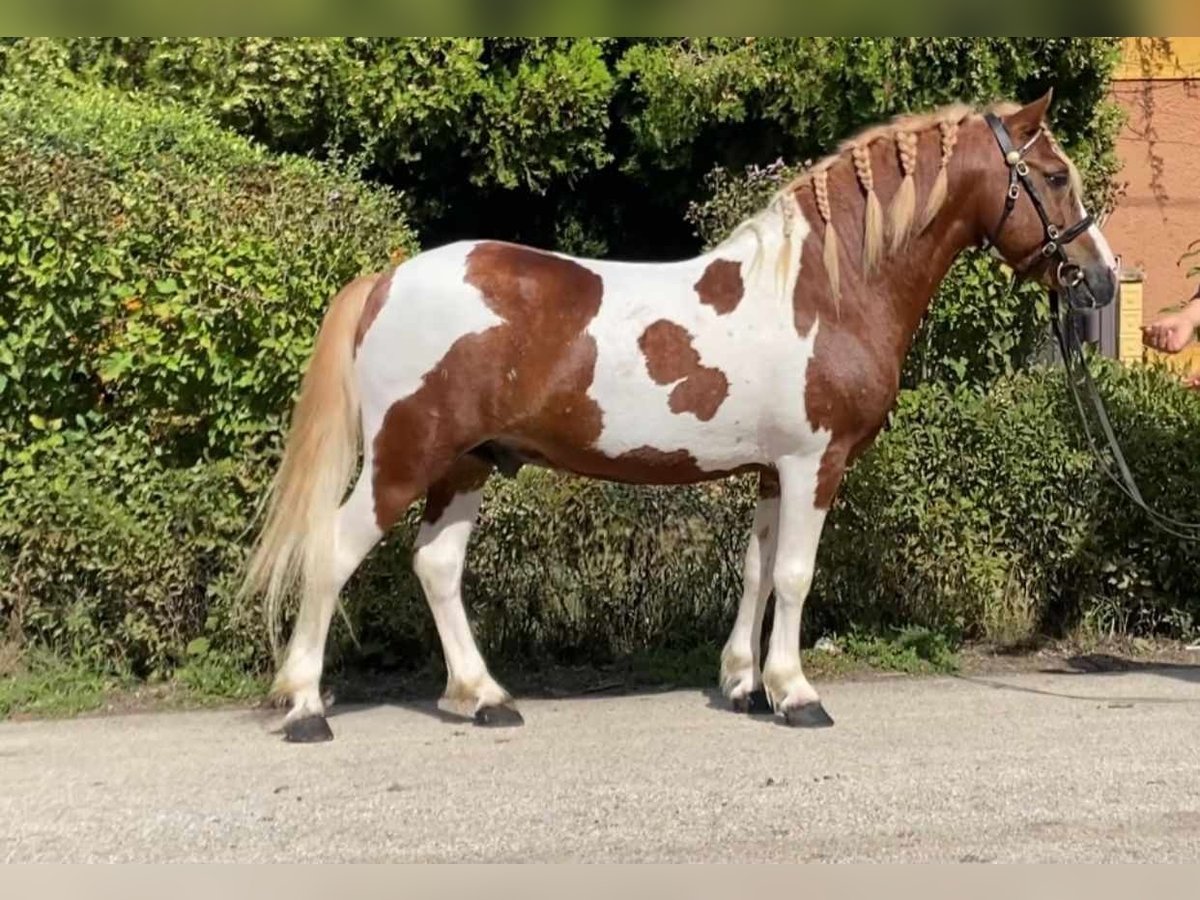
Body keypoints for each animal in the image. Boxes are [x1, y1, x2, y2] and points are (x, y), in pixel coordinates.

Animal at [241, 91, 1113, 744]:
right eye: (1054, 174)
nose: (1101, 278)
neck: (826, 289)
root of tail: (386, 281)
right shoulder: (813, 463)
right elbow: (795, 576)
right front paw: (797, 694)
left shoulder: (772, 471)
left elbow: (757, 570)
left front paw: (745, 685)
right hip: (404, 457)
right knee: (334, 550)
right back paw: (307, 707)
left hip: (467, 462)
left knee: (437, 565)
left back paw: (484, 697)